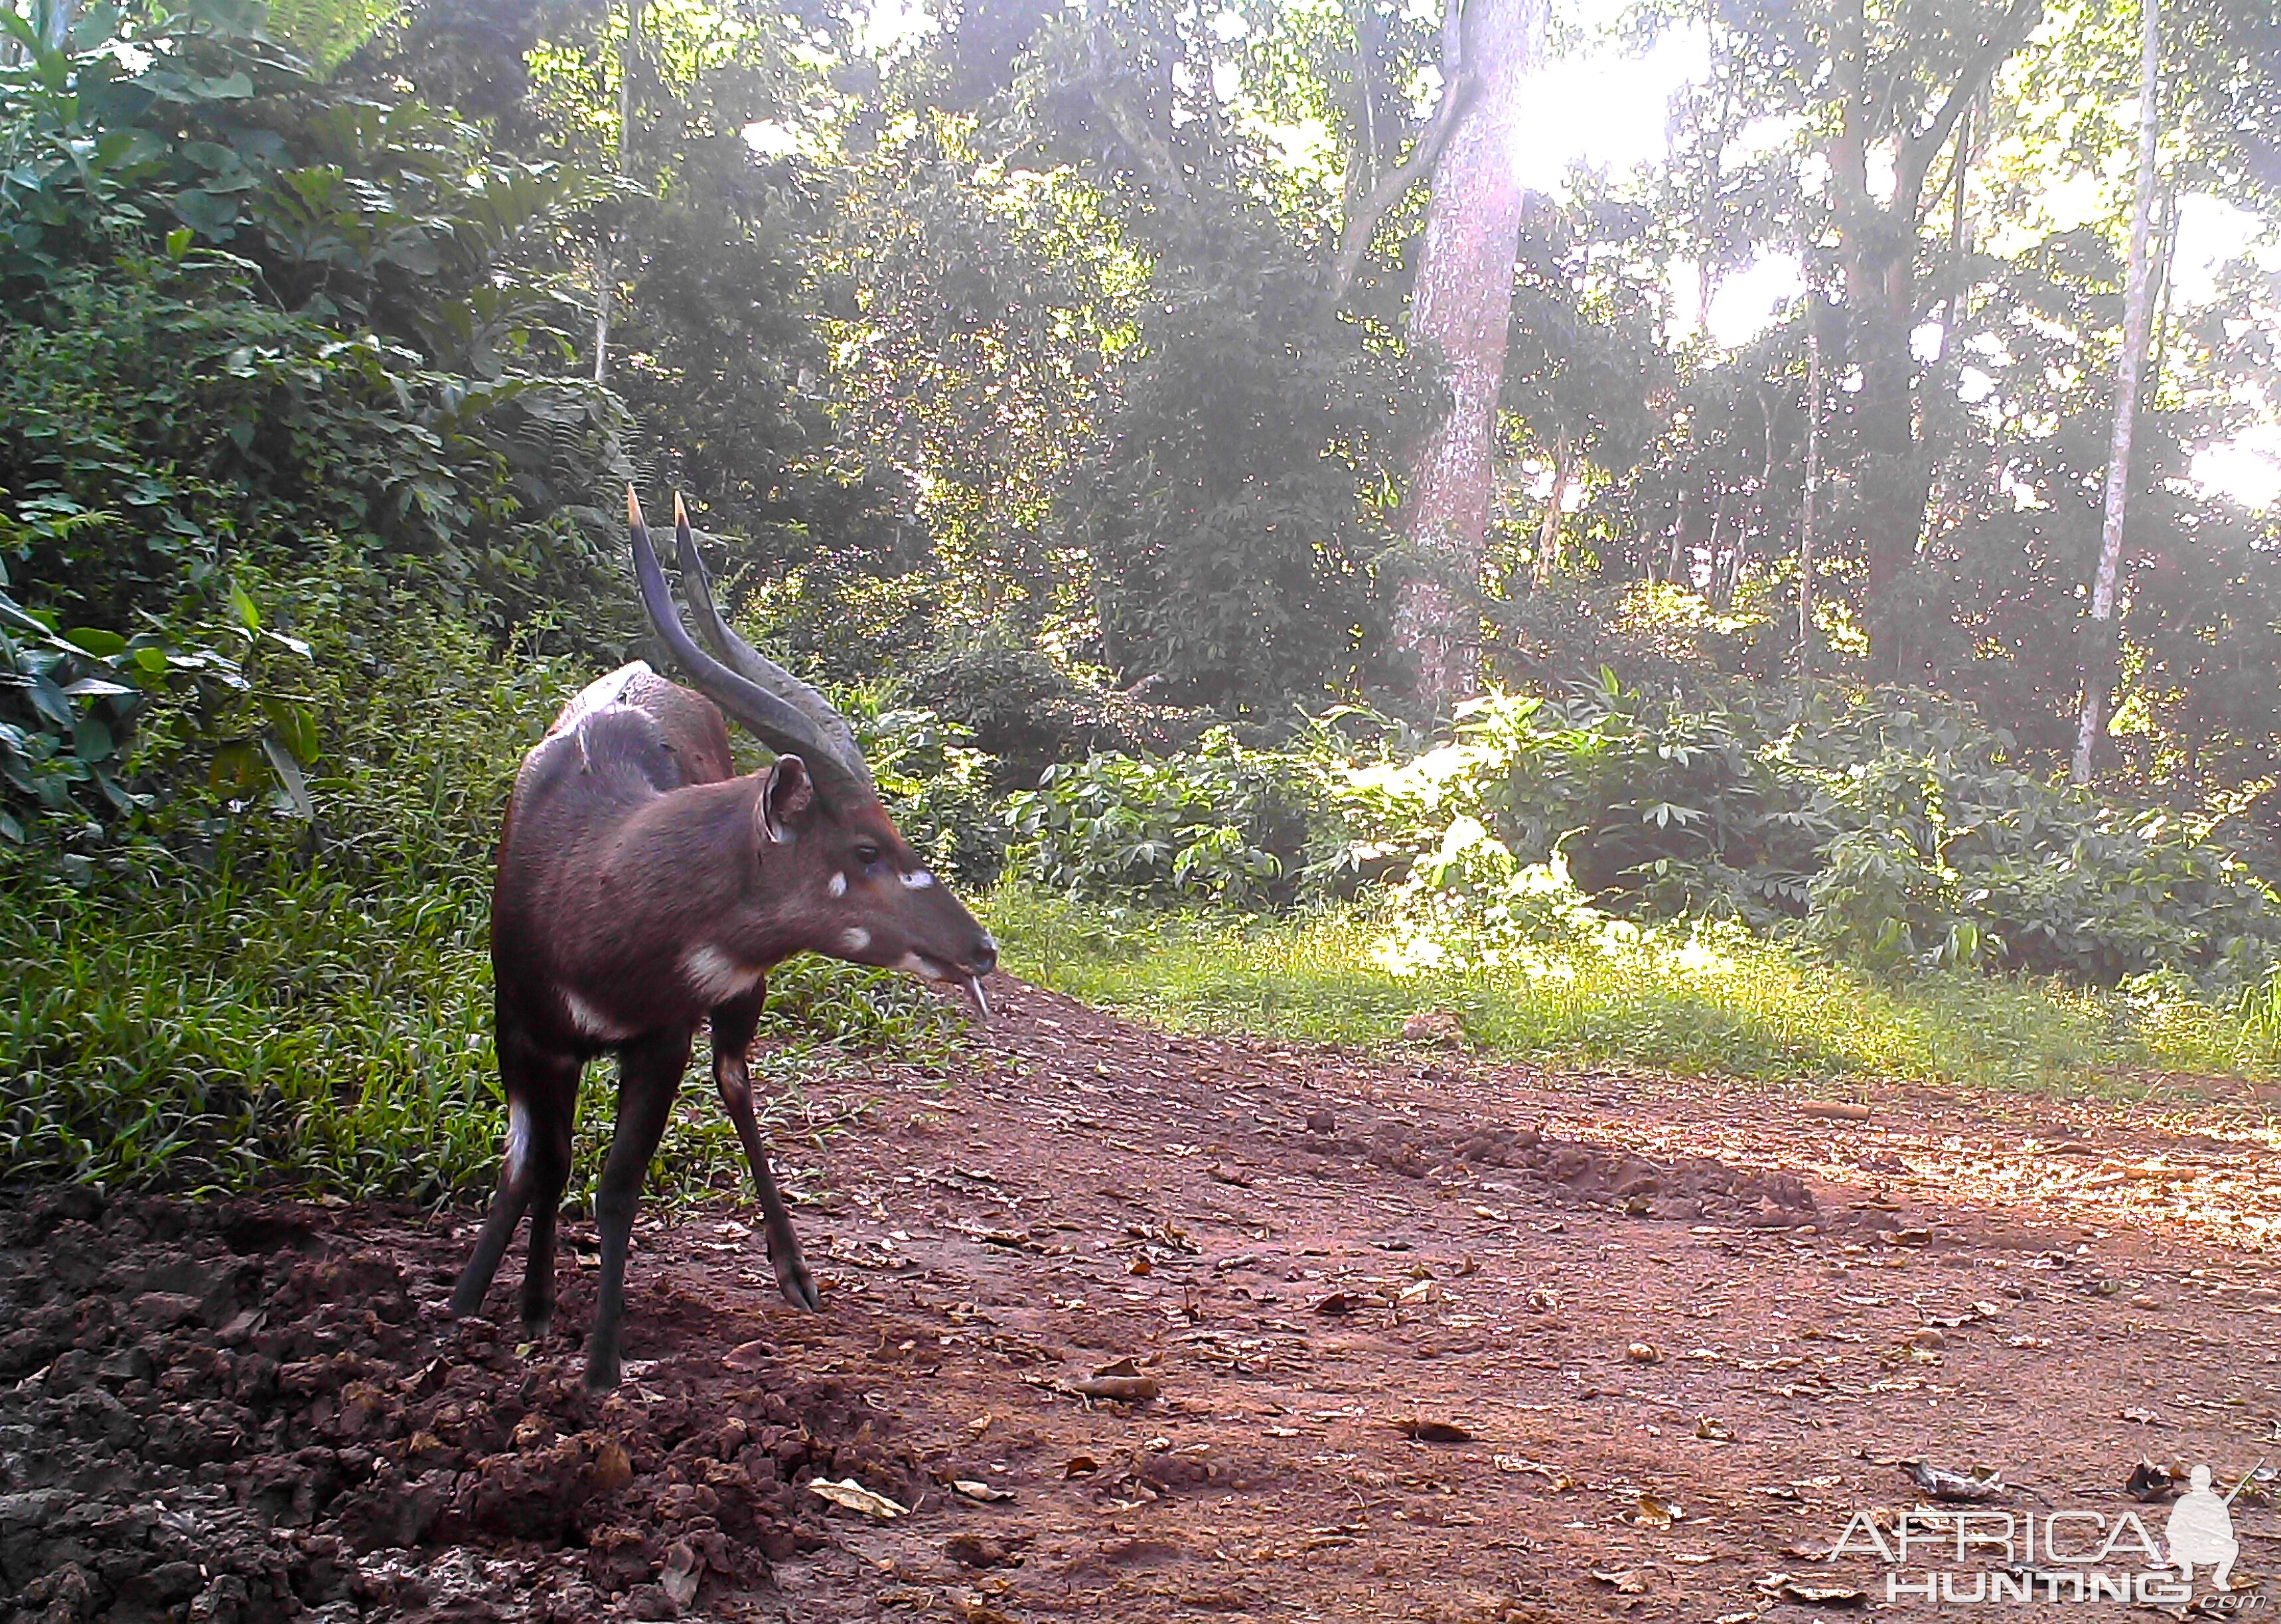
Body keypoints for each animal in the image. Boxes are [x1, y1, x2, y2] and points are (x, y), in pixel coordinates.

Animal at [453, 486, 999, 1386]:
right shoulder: (522, 1026)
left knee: (736, 1078)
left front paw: (599, 1365)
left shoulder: (661, 1036)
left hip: (741, 995)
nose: (980, 949)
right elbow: (535, 1160)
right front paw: (491, 1304)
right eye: (865, 849)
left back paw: (795, 1271)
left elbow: (616, 1183)